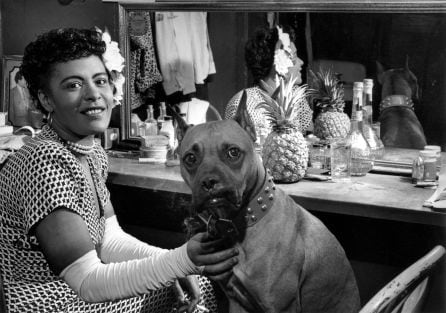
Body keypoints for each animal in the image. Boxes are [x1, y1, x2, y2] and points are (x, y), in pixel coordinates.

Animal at [172, 93, 360, 312]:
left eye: (233, 152)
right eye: (190, 158)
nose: (209, 182)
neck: (244, 220)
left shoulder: (281, 306)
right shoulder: (236, 302)